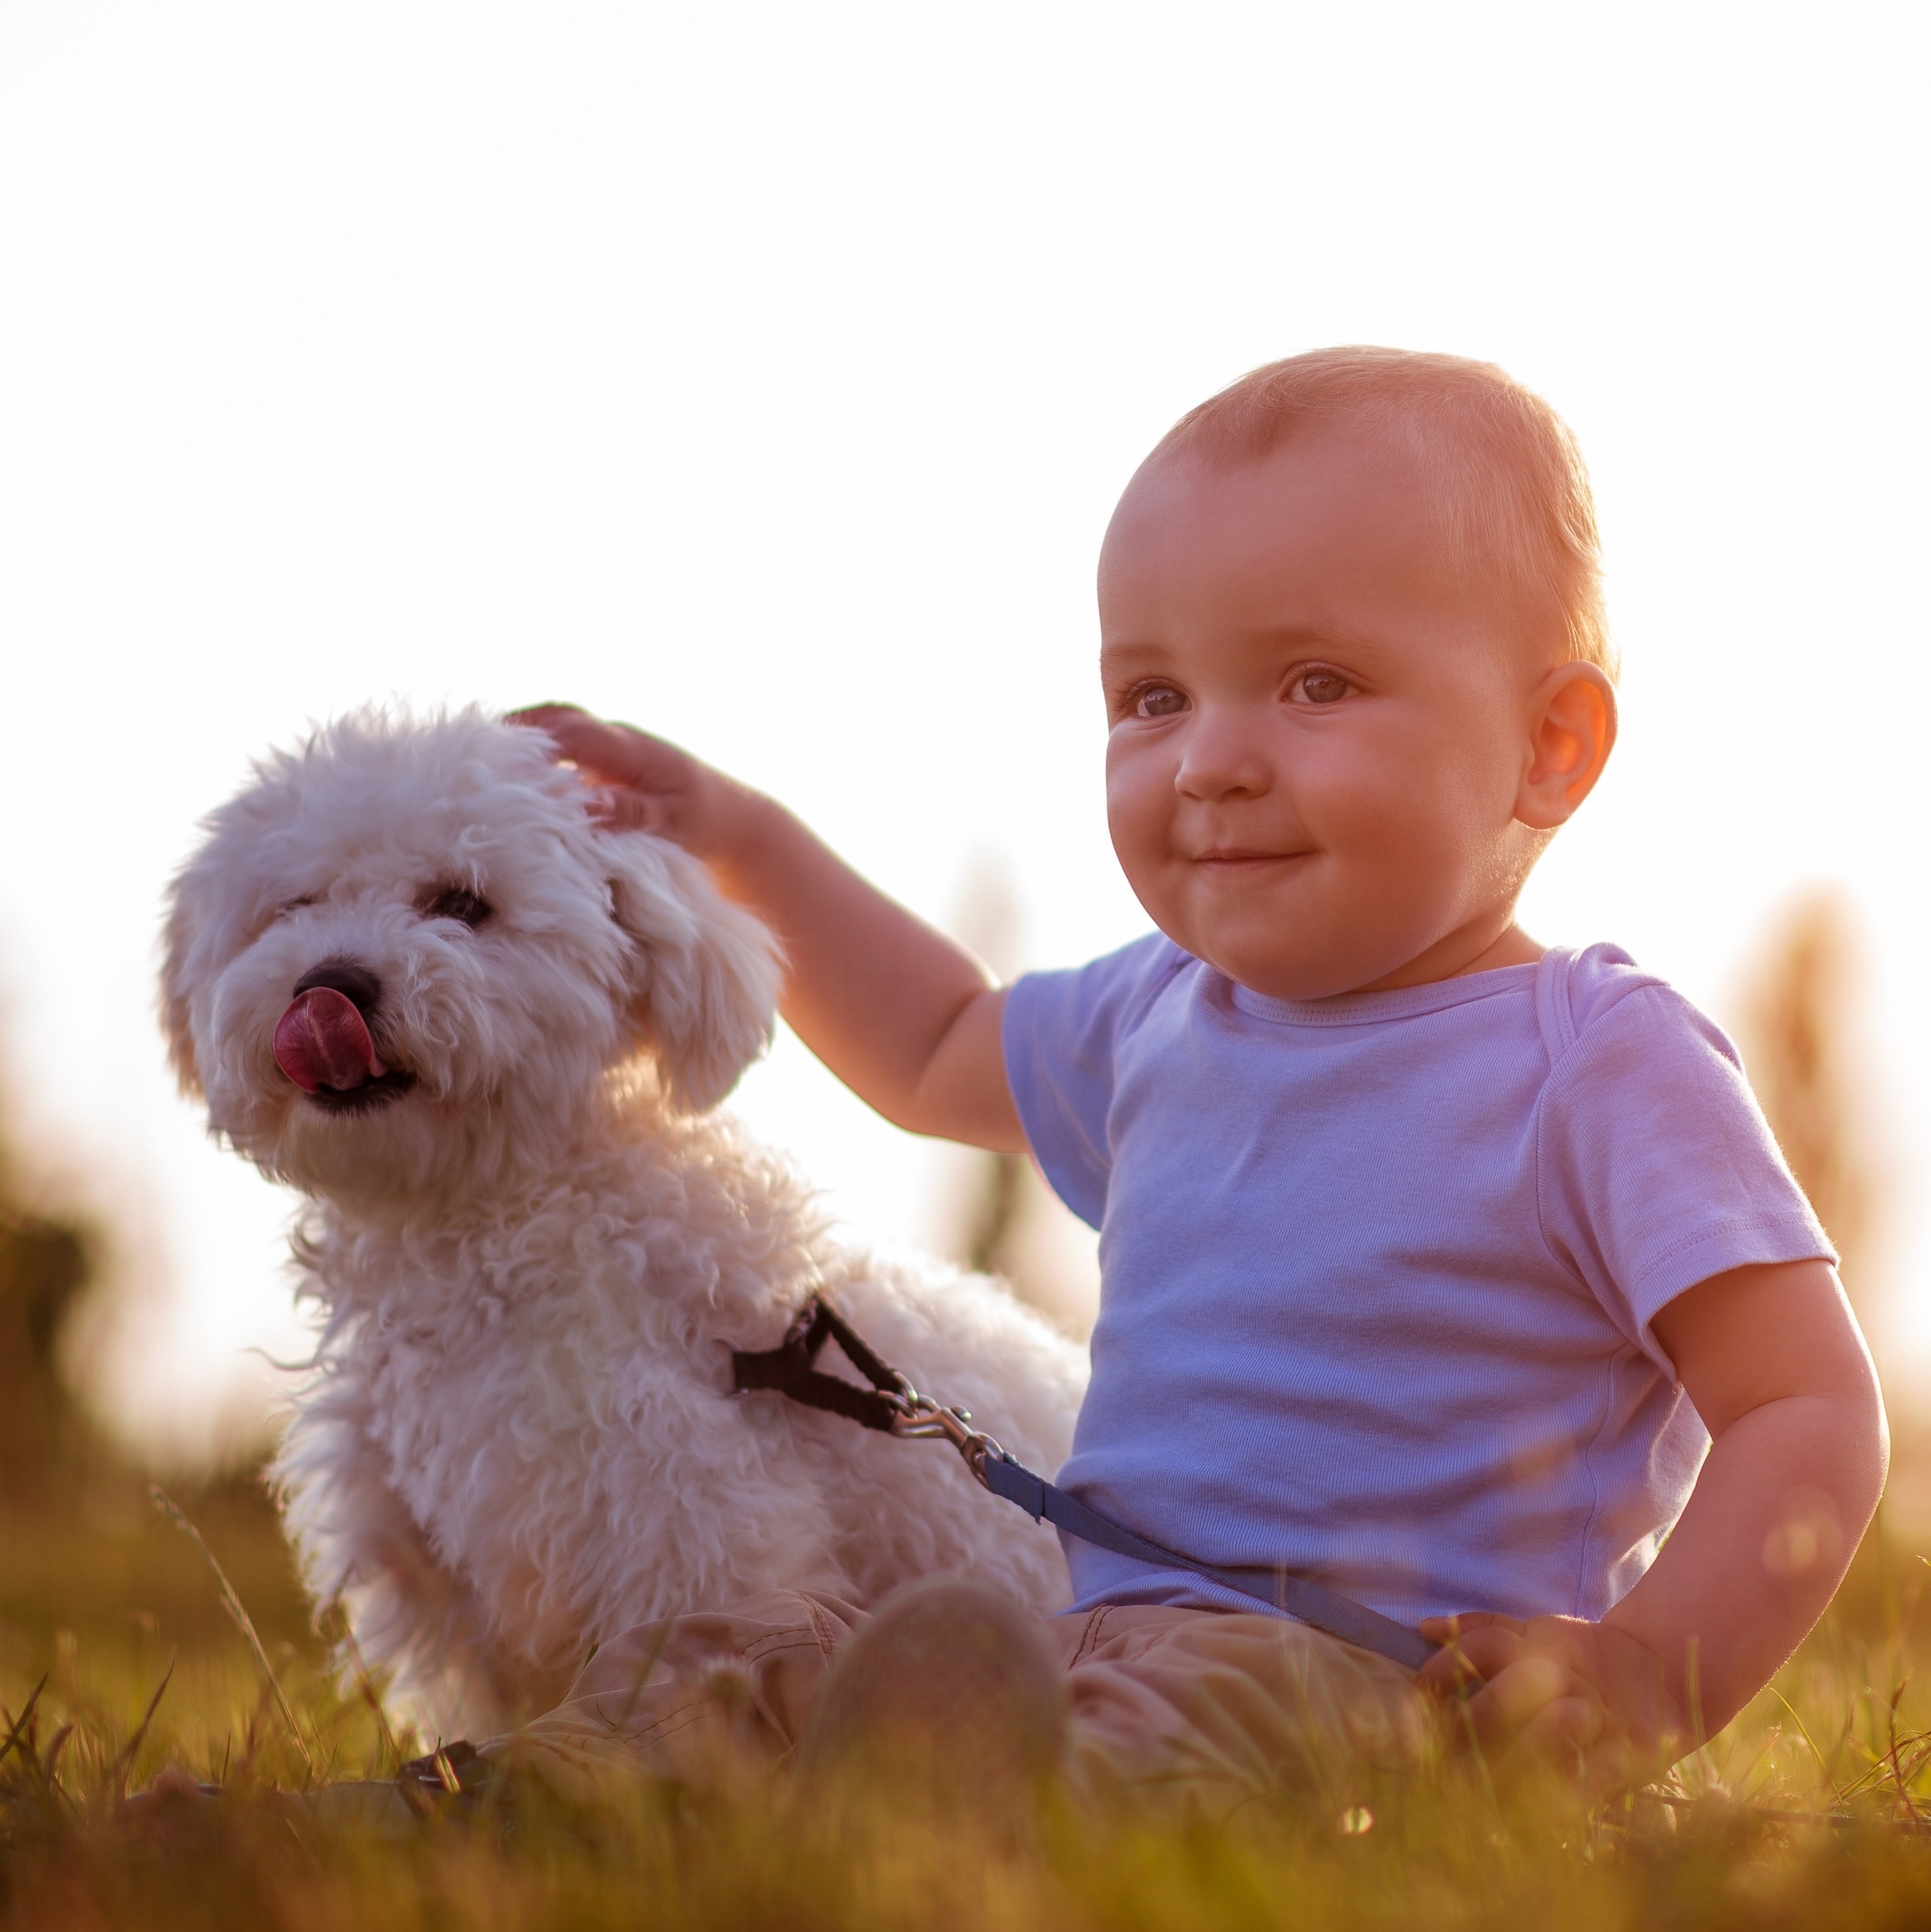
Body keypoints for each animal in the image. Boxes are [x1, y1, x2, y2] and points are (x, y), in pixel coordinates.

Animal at [164, 707, 1090, 1739]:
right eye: (293, 906)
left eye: (461, 903)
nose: (330, 986)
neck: (489, 1229)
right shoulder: (438, 1582)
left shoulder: (689, 1534)